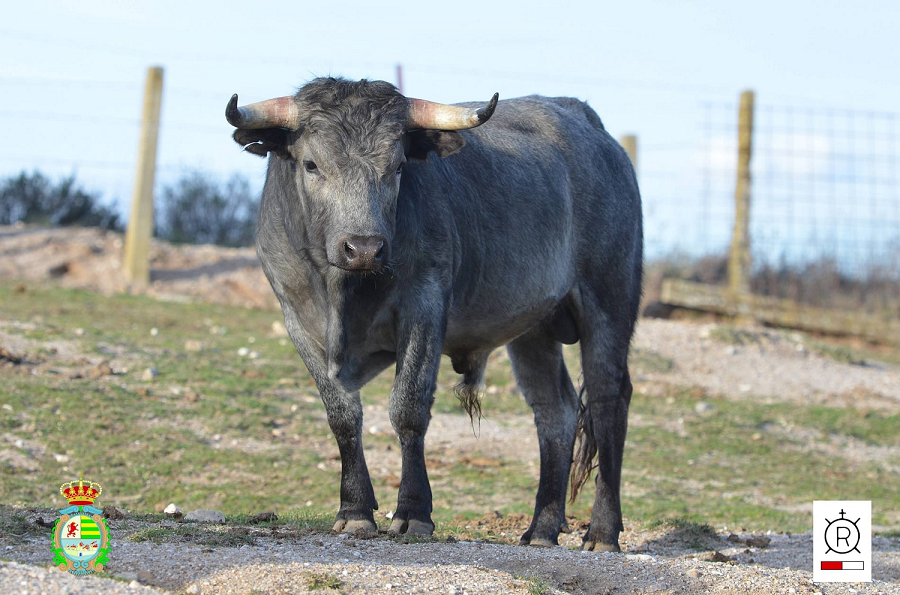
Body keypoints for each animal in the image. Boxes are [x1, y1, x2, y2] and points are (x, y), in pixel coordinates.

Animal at [226, 77, 642, 551]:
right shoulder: (297, 319)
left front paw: (413, 512)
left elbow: (408, 408)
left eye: (397, 167)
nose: (364, 247)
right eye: (311, 165)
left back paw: (602, 531)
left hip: (610, 300)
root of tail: (591, 127)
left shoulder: (424, 305)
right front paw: (354, 510)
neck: (344, 289)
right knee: (555, 411)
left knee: (608, 403)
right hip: (534, 327)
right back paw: (541, 529)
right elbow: (343, 416)